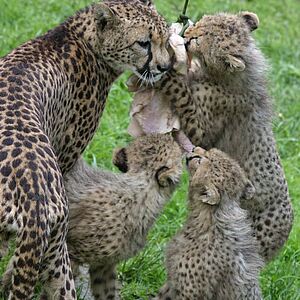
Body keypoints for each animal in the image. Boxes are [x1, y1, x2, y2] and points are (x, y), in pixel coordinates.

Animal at [0, 0, 171, 298]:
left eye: (164, 38)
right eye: (143, 43)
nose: (164, 67)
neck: (84, 39)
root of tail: (32, 199)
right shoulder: (65, 160)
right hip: (57, 249)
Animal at [156, 11, 292, 260]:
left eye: (198, 40)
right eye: (201, 22)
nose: (187, 36)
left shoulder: (201, 131)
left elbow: (183, 95)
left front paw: (167, 73)